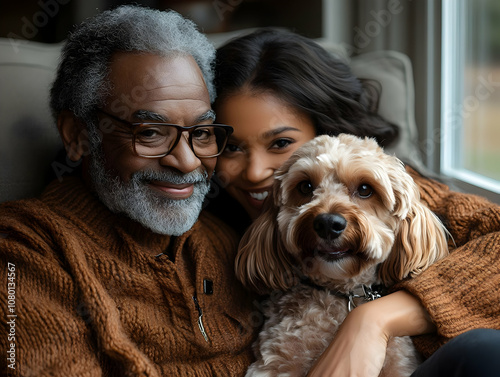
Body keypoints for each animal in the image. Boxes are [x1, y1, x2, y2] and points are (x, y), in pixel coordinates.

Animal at [234, 134, 450, 376]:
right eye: (305, 186)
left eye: (365, 189)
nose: (328, 224)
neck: (342, 293)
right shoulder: (274, 362)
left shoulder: (400, 365)